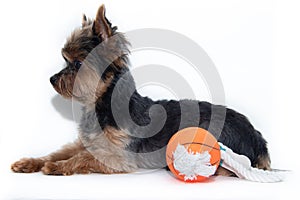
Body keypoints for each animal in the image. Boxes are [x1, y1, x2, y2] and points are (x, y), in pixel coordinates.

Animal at [11, 4, 270, 176]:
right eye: (64, 61)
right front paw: (31, 162)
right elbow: (59, 151)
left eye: (76, 64)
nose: (52, 79)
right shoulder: (87, 142)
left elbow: (84, 157)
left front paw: (57, 166)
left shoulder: (119, 156)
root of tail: (259, 140)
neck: (99, 103)